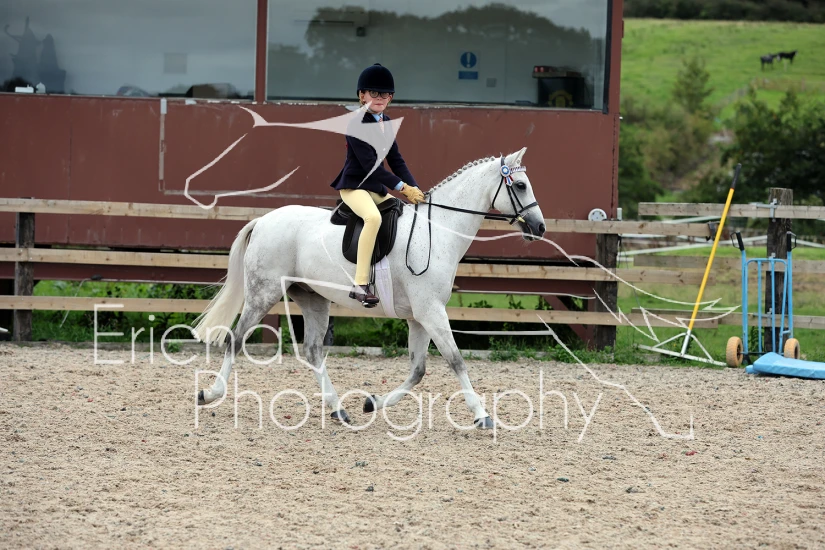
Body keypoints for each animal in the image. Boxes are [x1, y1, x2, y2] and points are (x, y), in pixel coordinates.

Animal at [191, 148, 545, 429]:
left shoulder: (419, 317)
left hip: (313, 298)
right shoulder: (431, 312)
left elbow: (418, 370)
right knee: (235, 340)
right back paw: (209, 393)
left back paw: (339, 410)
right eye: (521, 185)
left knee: (313, 351)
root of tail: (263, 220)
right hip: (263, 293)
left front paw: (372, 402)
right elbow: (456, 360)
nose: (539, 227)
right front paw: (481, 415)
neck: (437, 231)